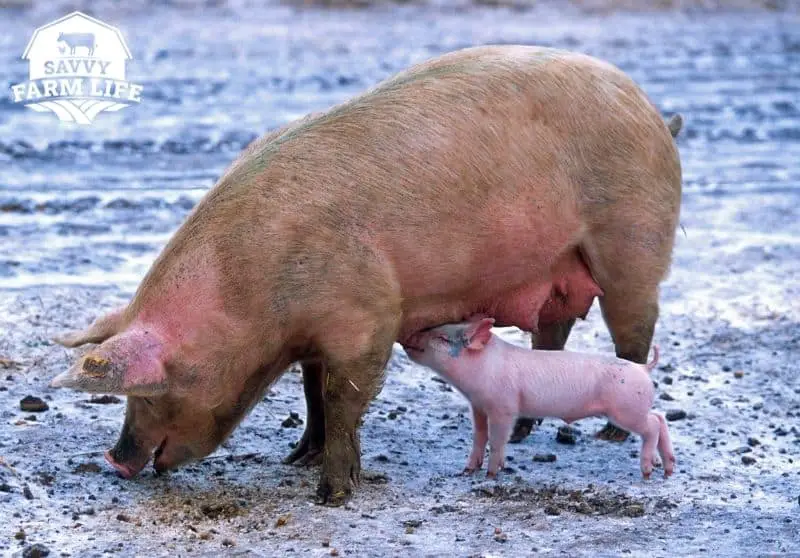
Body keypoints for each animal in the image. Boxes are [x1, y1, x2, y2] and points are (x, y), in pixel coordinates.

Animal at [404, 318, 676, 479]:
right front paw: (468, 470)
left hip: (626, 409)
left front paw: (491, 475)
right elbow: (479, 436)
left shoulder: (504, 406)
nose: (408, 337)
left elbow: (497, 439)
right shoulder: (478, 406)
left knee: (653, 425)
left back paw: (648, 471)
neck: (482, 367)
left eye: (442, 338)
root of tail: (643, 369)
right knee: (660, 417)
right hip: (634, 408)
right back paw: (668, 468)